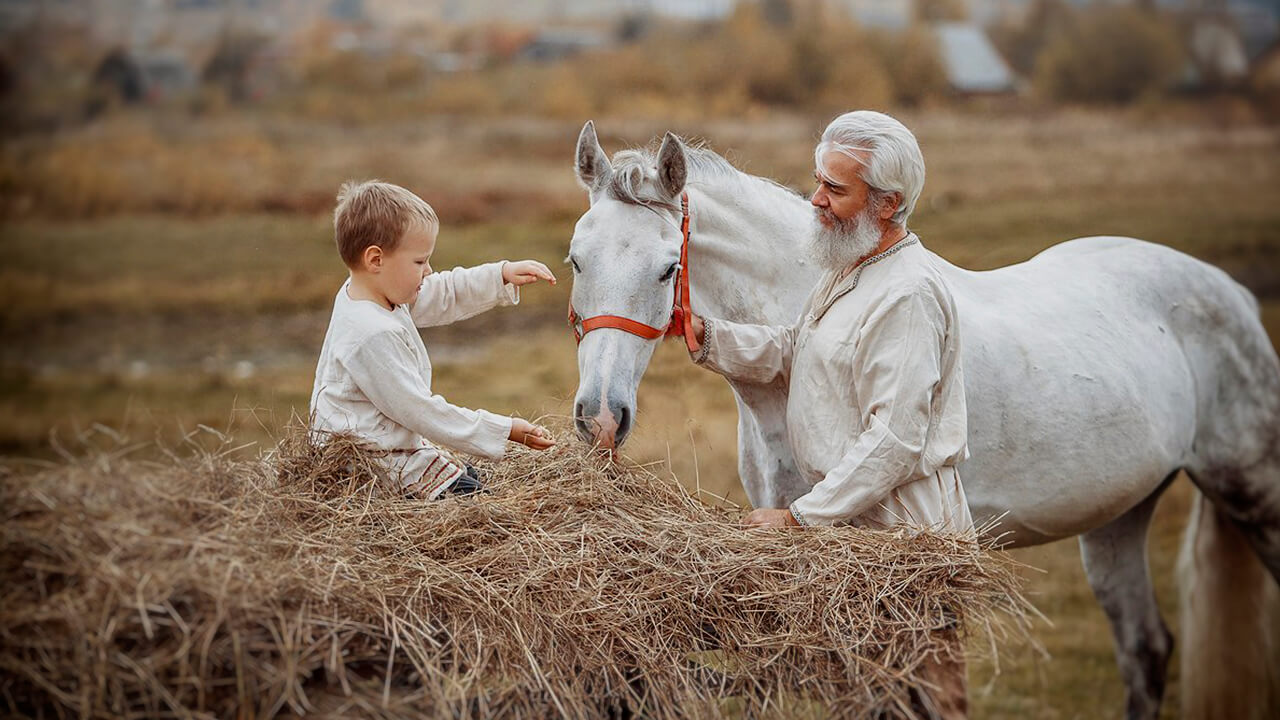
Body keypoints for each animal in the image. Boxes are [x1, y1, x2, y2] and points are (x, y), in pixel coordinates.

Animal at [568, 122, 1280, 717]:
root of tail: (1232, 294)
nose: (599, 419)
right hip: (1117, 518)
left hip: (1255, 502)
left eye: (668, 268)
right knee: (1145, 649)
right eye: (576, 259)